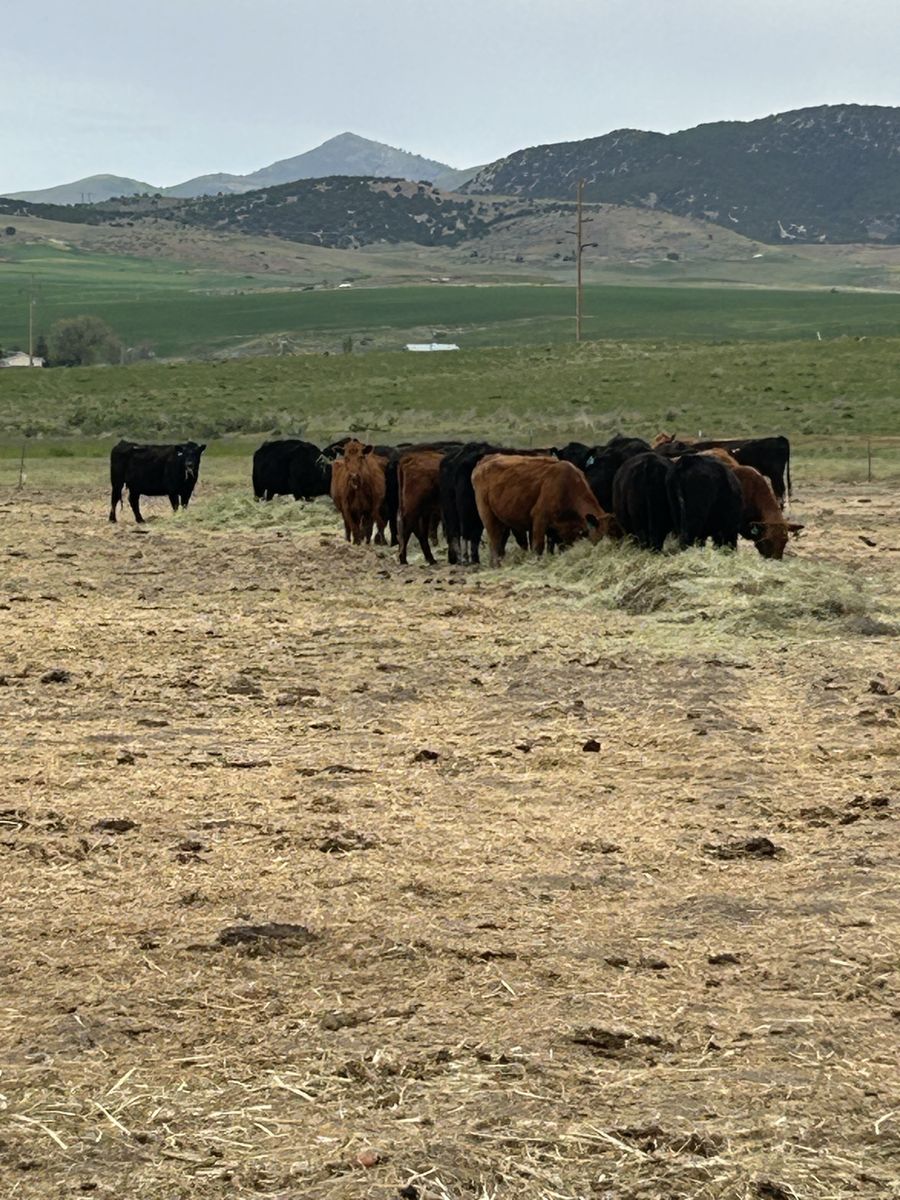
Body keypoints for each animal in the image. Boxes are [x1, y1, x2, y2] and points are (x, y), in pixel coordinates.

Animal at [471, 455, 615, 568]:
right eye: (601, 536)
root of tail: (484, 461)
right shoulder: (540, 519)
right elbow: (538, 546)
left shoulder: (562, 531)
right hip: (488, 517)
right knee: (494, 541)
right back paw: (497, 565)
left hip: (503, 521)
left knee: (501, 542)